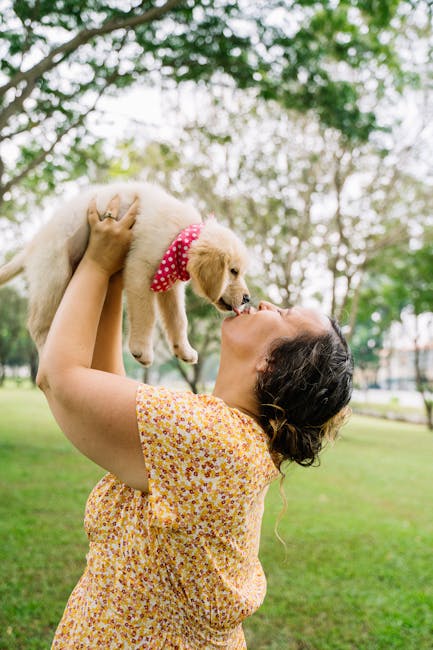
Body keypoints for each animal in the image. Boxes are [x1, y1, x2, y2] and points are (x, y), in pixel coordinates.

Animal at [0, 181, 248, 364]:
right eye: (233, 271)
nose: (247, 298)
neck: (179, 234)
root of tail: (32, 246)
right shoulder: (140, 268)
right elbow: (147, 315)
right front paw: (141, 350)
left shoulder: (169, 284)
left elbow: (178, 319)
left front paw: (184, 350)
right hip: (54, 274)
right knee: (37, 325)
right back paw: (46, 352)